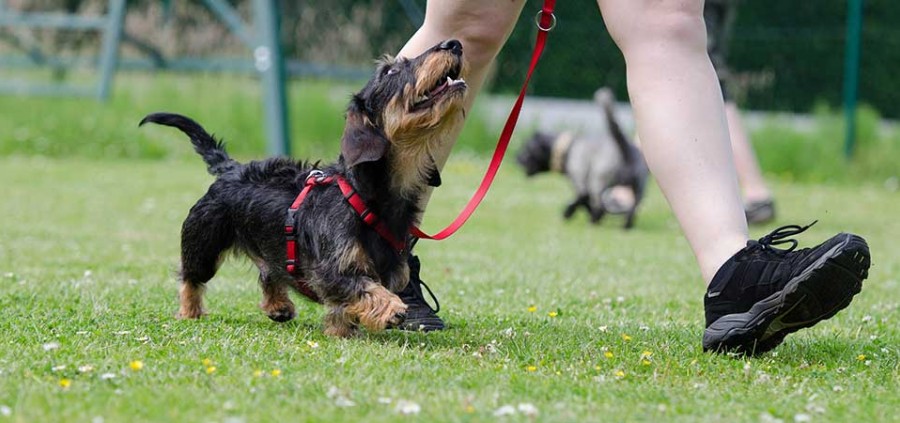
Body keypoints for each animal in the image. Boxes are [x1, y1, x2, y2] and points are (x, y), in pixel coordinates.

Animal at [139, 39, 472, 338]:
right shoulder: (331, 270)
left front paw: (341, 330)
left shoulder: (391, 269)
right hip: (203, 243)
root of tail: (231, 168)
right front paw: (390, 309)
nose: (454, 44)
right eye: (390, 71)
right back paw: (189, 311)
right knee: (190, 278)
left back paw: (278, 306)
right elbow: (363, 288)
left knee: (268, 272)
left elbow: (346, 304)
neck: (366, 197)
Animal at [512, 87, 648, 230]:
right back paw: (624, 226)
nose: (515, 158)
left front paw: (568, 213)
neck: (567, 148)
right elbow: (584, 202)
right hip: (638, 188)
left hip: (598, 181)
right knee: (632, 210)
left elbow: (582, 200)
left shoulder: (580, 181)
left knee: (600, 205)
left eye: (526, 148)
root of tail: (625, 148)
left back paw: (593, 221)